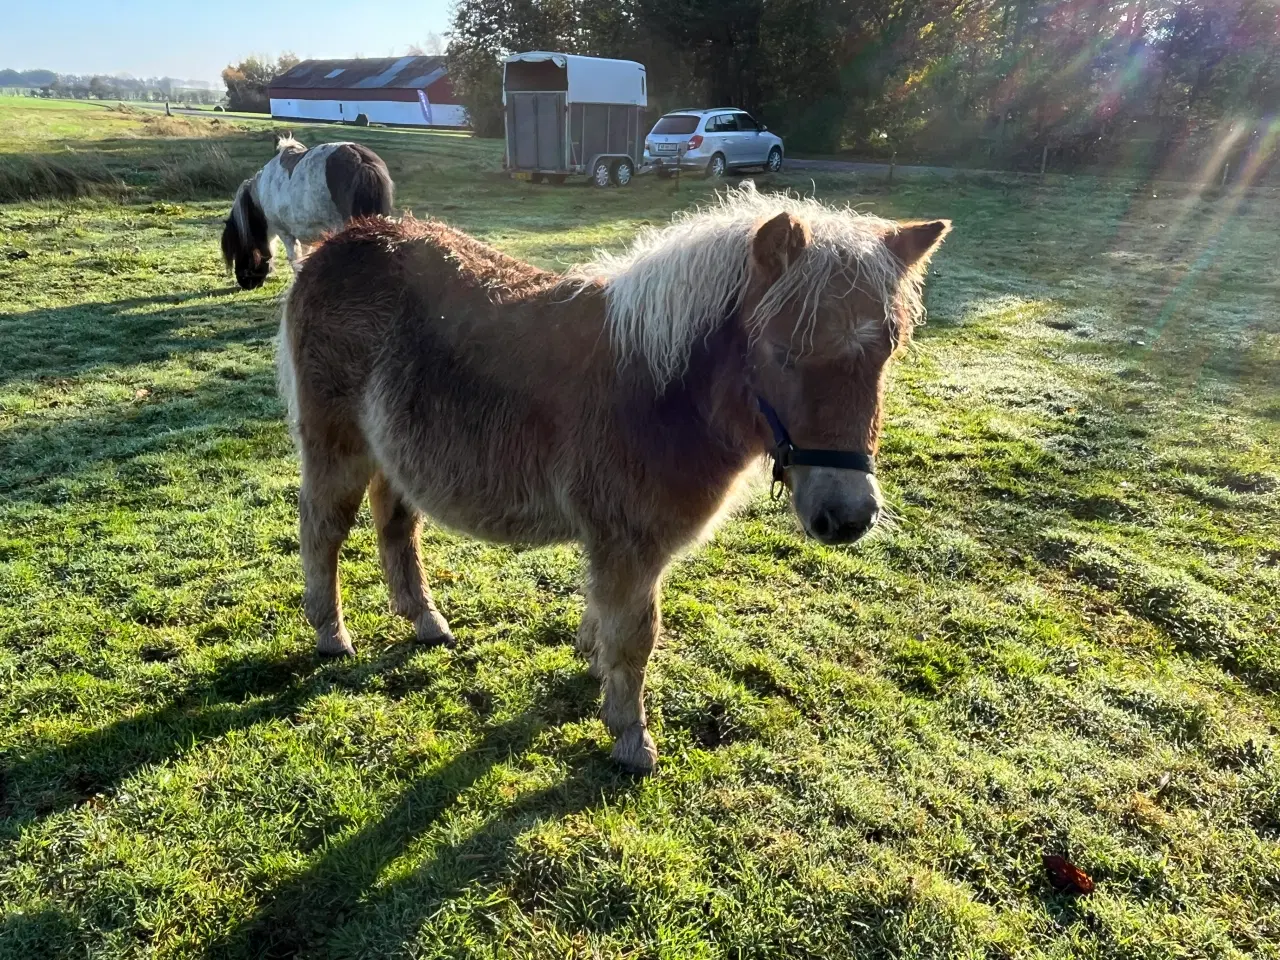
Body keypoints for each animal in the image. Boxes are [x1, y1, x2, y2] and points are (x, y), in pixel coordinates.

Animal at [275, 181, 947, 773]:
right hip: (338, 444)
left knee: (395, 525)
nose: (848, 516)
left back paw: (423, 620)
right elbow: (636, 636)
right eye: (784, 353)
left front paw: (593, 667)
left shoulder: (619, 547)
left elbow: (606, 618)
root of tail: (341, 241)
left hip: (394, 453)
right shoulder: (630, 545)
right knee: (324, 528)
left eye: (888, 351)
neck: (661, 393)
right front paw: (630, 739)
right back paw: (330, 632)